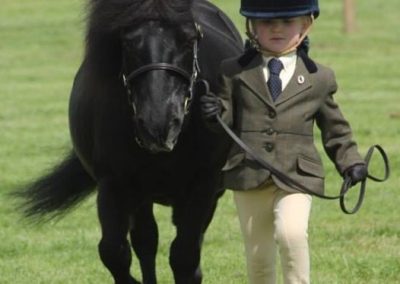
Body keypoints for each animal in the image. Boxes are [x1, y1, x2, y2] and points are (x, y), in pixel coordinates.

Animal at [17, 0, 242, 284]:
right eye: (127, 42)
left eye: (190, 39)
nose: (159, 125)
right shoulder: (114, 185)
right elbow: (115, 252)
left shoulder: (203, 187)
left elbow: (185, 256)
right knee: (146, 241)